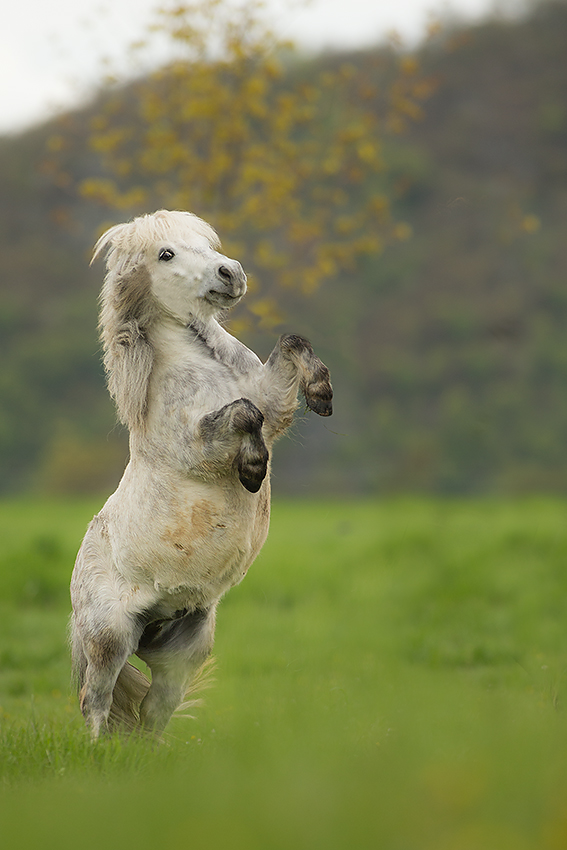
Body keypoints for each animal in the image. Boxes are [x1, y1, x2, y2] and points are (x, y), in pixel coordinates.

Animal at [70, 207, 332, 736]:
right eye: (166, 253)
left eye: (206, 243)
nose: (231, 273)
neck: (202, 358)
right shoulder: (197, 446)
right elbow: (244, 413)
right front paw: (252, 470)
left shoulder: (273, 400)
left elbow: (288, 350)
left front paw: (321, 393)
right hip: (109, 637)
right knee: (96, 700)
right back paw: (96, 751)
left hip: (186, 644)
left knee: (153, 711)